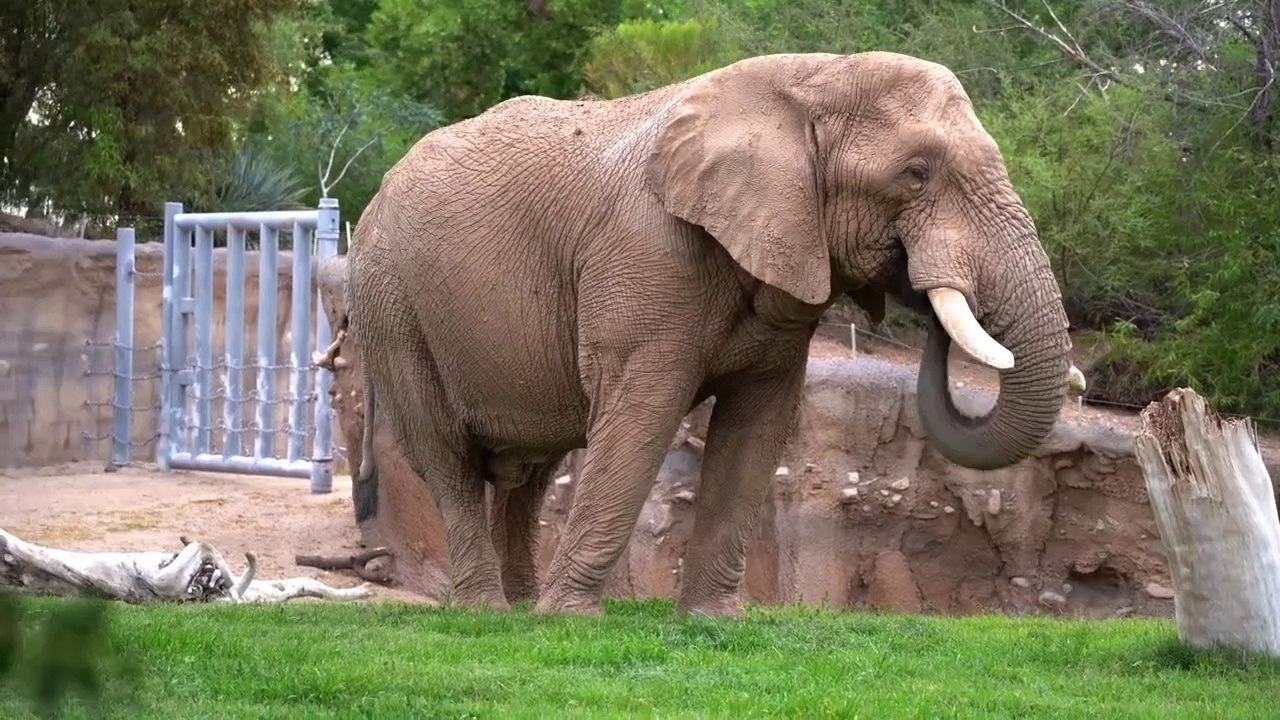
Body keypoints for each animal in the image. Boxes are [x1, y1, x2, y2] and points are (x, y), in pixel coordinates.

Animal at [343, 50, 1085, 618]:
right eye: (916, 173)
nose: (920, 283)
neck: (811, 77)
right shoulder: (646, 254)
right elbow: (642, 415)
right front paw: (572, 621)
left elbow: (757, 428)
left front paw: (712, 619)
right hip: (392, 304)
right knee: (447, 455)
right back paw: (488, 613)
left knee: (536, 466)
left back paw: (519, 606)